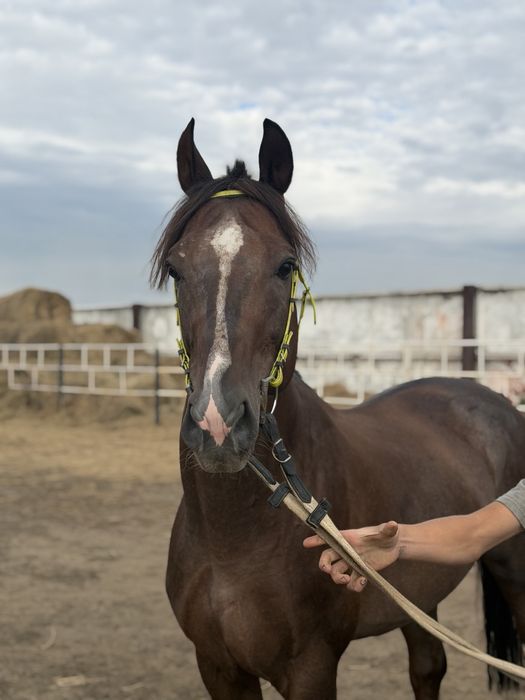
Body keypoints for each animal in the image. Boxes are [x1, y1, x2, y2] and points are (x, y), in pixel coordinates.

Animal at [151, 118, 525, 699]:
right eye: (176, 268)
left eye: (285, 266)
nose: (217, 423)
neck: (233, 540)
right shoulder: (217, 667)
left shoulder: (311, 668)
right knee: (428, 666)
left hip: (514, 570)